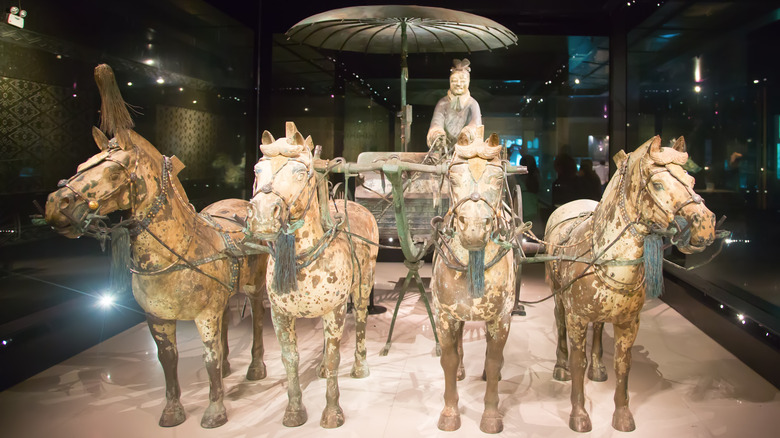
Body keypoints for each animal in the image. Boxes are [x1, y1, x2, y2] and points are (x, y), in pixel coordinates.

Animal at [43, 64, 268, 428]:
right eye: (79, 167)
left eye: (114, 170)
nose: (54, 204)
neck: (178, 252)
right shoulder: (156, 318)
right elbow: (168, 359)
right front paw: (173, 411)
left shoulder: (204, 313)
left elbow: (207, 355)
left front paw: (214, 411)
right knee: (224, 329)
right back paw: (227, 369)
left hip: (253, 285)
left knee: (258, 319)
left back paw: (255, 367)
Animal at [245, 121, 376, 430]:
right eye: (257, 169)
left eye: (300, 172)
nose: (263, 215)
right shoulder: (279, 314)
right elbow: (290, 358)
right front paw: (294, 412)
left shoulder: (337, 309)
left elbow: (334, 357)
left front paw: (332, 413)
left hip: (363, 287)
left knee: (361, 319)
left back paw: (359, 367)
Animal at [430, 127, 516, 434]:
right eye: (453, 177)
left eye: (498, 177)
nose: (475, 230)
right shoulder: (444, 315)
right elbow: (447, 359)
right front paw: (449, 412)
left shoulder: (501, 317)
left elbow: (492, 362)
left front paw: (490, 416)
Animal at [544, 136, 716, 432]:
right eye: (657, 184)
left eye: (692, 180)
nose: (705, 225)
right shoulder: (577, 318)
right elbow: (578, 362)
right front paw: (579, 415)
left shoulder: (629, 322)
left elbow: (623, 365)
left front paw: (623, 416)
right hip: (558, 296)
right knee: (560, 321)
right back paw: (561, 366)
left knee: (600, 328)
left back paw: (598, 367)